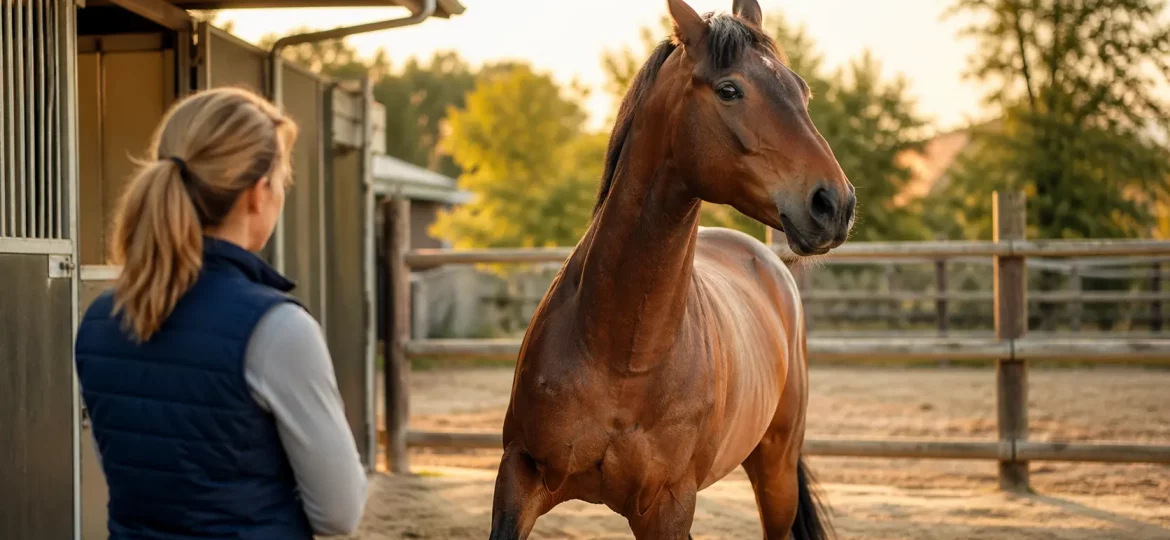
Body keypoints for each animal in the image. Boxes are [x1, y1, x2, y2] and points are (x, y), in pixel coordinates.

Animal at [489, 1, 855, 538]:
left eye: (801, 91)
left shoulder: (668, 506)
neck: (622, 356)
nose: (835, 203)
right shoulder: (520, 476)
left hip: (777, 474)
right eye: (729, 89)